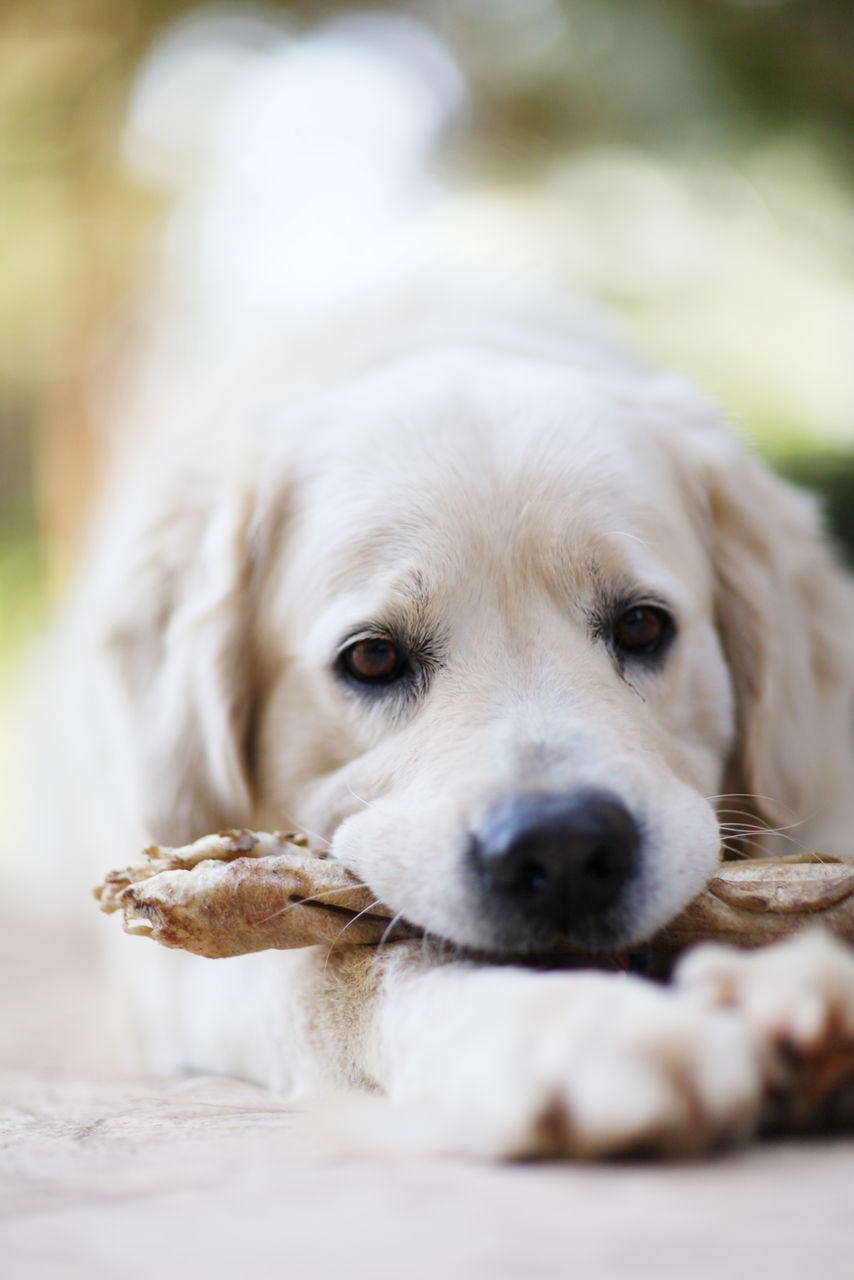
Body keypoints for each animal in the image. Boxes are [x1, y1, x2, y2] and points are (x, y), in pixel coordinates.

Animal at [28, 10, 854, 1157]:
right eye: (371, 657)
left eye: (646, 627)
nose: (563, 851)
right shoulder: (179, 936)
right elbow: (343, 968)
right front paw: (573, 1029)